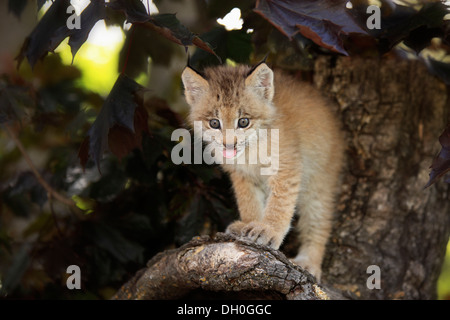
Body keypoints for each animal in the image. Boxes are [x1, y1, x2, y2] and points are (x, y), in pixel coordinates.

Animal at [181, 60, 342, 280]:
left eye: (243, 122)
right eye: (214, 123)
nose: (229, 145)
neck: (251, 150)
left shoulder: (285, 168)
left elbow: (280, 204)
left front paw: (269, 230)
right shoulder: (241, 174)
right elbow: (248, 201)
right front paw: (249, 224)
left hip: (319, 180)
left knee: (318, 221)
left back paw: (309, 261)